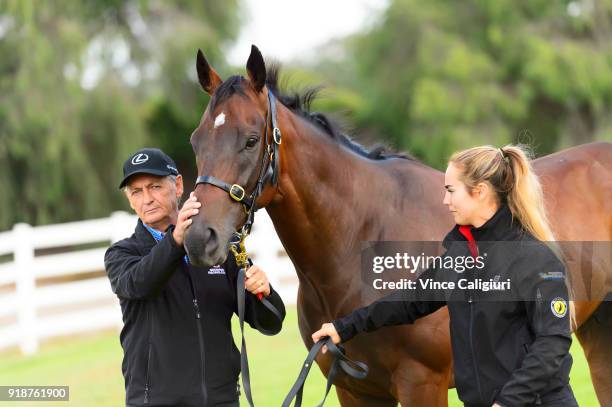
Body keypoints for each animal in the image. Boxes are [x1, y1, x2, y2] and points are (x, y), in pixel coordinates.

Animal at [185, 46, 612, 406]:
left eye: (250, 140)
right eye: (196, 140)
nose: (197, 238)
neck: (363, 241)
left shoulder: (422, 384)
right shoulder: (354, 390)